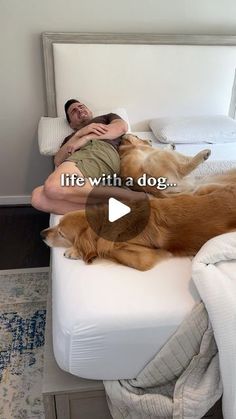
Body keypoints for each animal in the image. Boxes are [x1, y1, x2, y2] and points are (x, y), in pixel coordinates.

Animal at [41, 182, 236, 270]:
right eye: (57, 224)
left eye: (61, 233)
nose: (42, 234)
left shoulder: (144, 258)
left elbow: (105, 248)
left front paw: (76, 250)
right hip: (204, 189)